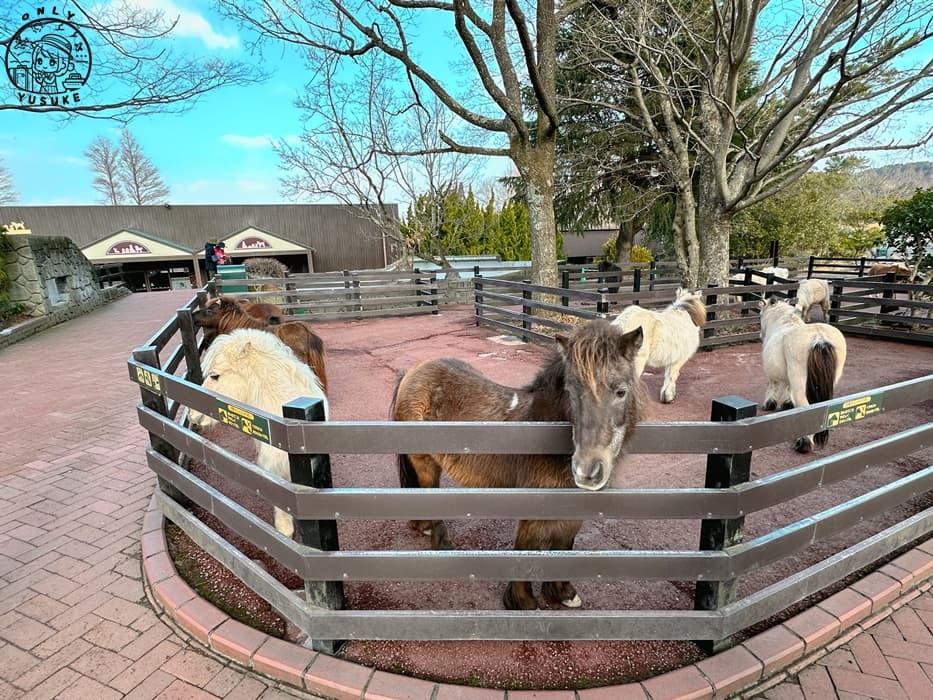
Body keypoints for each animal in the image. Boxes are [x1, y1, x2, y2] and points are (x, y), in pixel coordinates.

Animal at [390, 320, 644, 608]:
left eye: (621, 391)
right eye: (571, 392)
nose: (586, 470)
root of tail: (412, 372)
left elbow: (564, 546)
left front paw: (563, 593)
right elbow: (527, 549)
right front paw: (522, 601)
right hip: (425, 464)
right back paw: (441, 542)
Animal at [756, 296, 844, 454]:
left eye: (760, 314)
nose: (760, 336)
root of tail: (819, 338)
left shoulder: (771, 374)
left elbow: (772, 387)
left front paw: (769, 404)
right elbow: (787, 387)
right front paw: (787, 404)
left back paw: (804, 444)